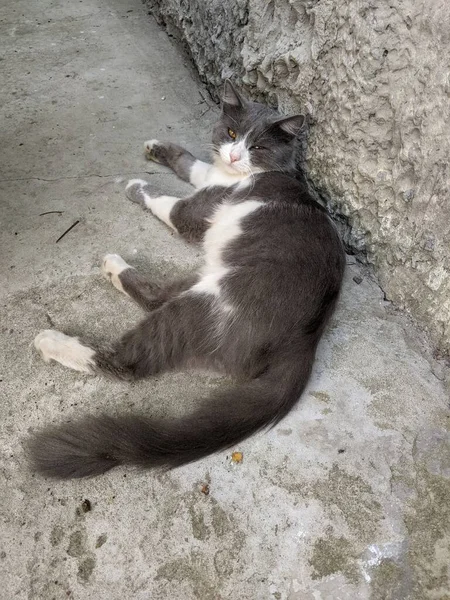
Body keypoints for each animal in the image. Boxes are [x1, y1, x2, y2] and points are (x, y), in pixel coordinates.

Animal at [29, 82, 344, 480]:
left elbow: (163, 199)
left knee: (128, 360)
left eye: (258, 147)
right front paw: (158, 148)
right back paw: (114, 270)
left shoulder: (192, 212)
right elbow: (191, 163)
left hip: (210, 301)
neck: (235, 177)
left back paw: (56, 336)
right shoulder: (208, 176)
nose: (235, 156)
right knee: (155, 295)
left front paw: (134, 184)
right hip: (206, 272)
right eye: (231, 134)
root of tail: (305, 343)